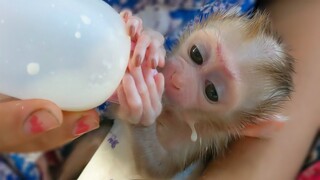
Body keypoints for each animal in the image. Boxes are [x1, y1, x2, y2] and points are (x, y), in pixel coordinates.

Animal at [111, 8, 294, 179]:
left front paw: (143, 110)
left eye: (212, 92)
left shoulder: (196, 141)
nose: (177, 79)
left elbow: (156, 168)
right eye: (196, 54)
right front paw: (151, 40)